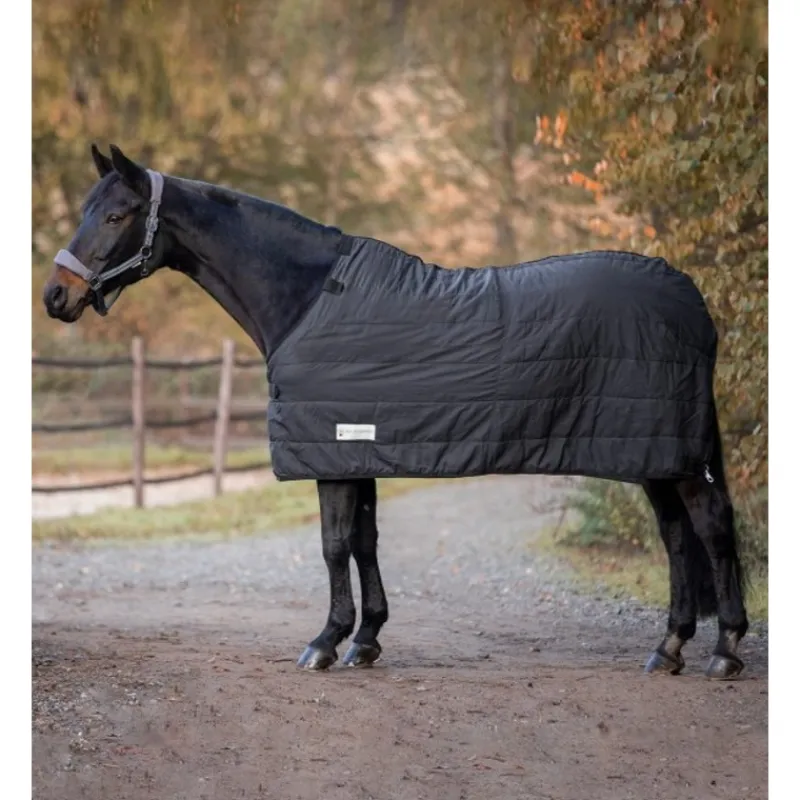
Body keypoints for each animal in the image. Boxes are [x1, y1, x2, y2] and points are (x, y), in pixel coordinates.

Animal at [42, 144, 749, 679]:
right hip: (654, 454)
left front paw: (325, 641)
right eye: (86, 209)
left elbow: (333, 545)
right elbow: (364, 541)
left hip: (669, 452)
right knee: (676, 534)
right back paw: (669, 648)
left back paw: (725, 650)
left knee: (711, 525)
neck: (307, 299)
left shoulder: (330, 450)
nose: (55, 296)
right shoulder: (357, 447)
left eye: (118, 214)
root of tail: (691, 299)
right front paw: (366, 639)